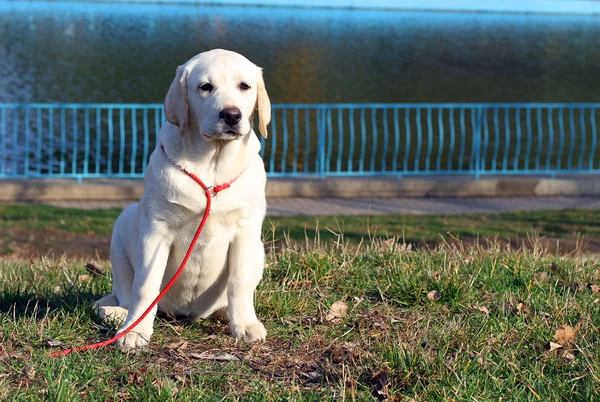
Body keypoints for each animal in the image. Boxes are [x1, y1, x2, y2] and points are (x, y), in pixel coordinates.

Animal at [95, 49, 270, 348]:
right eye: (205, 87)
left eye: (244, 86)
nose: (231, 115)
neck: (212, 161)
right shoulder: (156, 229)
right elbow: (145, 284)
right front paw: (135, 331)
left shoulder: (246, 229)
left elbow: (240, 281)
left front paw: (245, 324)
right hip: (124, 223)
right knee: (126, 294)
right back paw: (117, 314)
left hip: (259, 249)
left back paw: (227, 313)